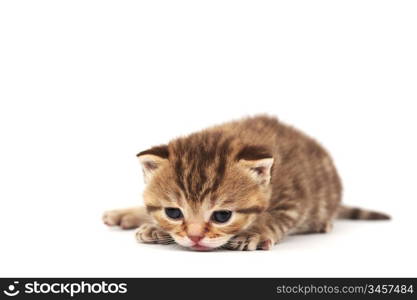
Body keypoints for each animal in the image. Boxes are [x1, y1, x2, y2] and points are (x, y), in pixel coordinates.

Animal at [102, 115, 388, 251]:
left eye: (222, 216)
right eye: (173, 212)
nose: (195, 237)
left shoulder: (294, 197)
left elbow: (276, 217)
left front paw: (256, 232)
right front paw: (154, 225)